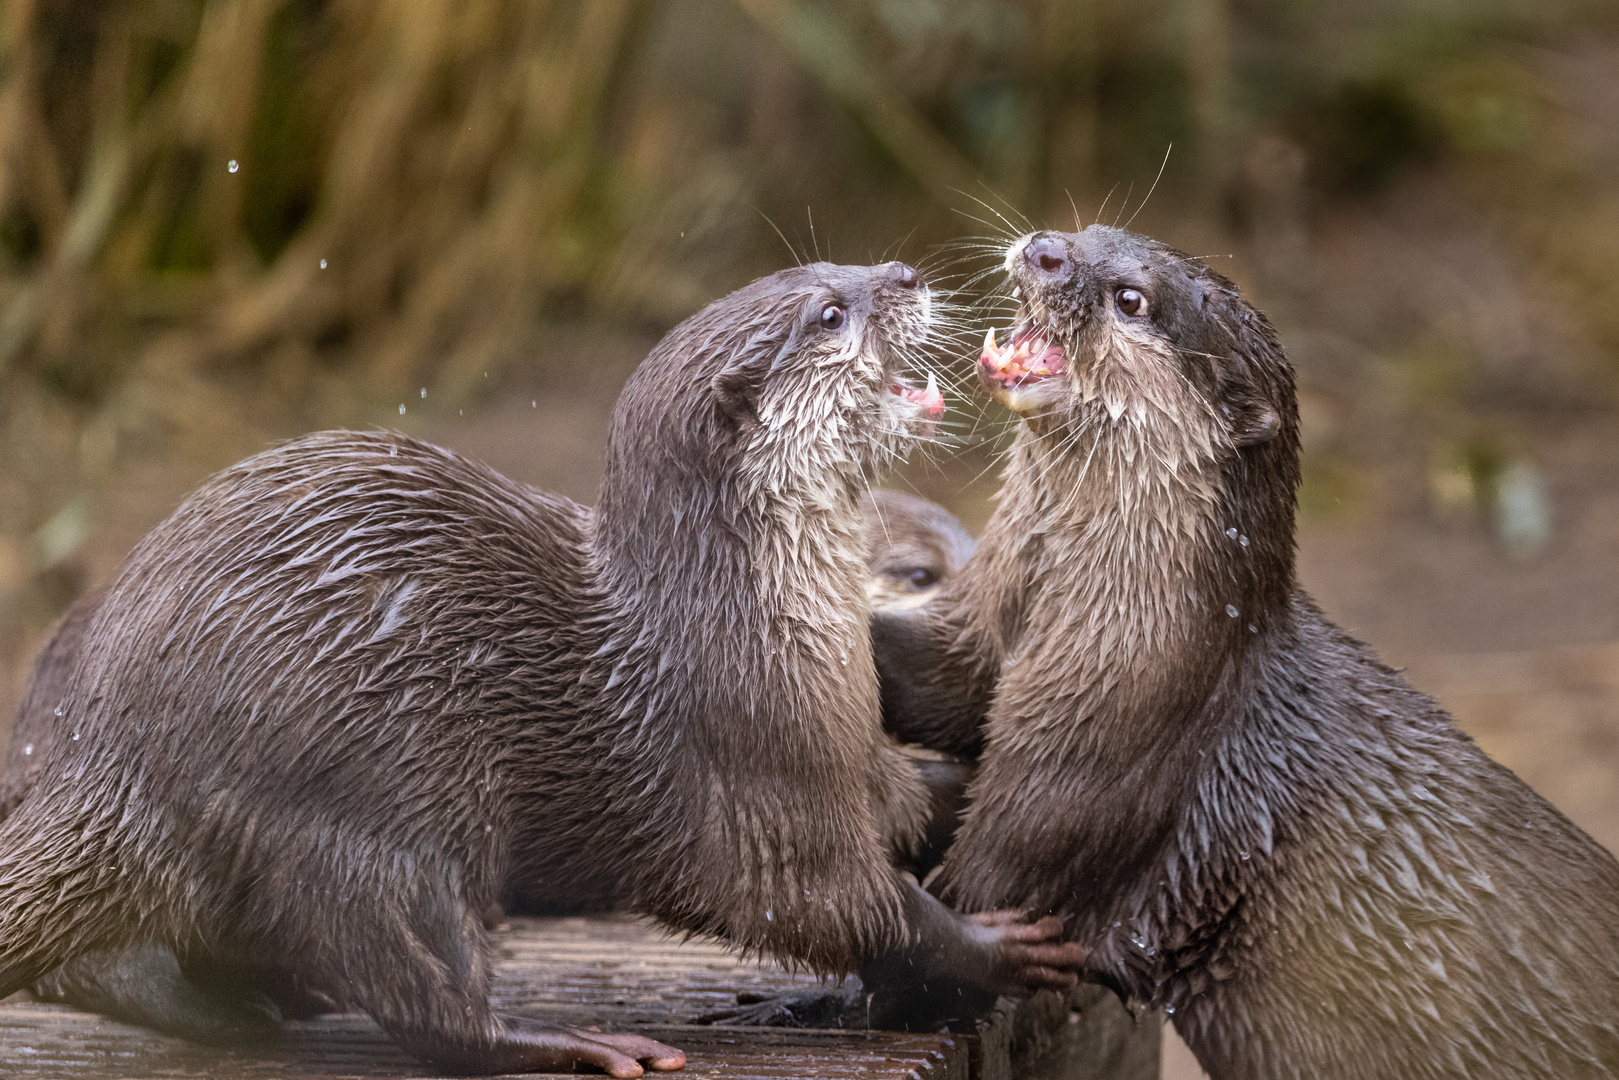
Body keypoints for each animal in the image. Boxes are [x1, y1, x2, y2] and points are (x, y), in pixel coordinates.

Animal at [0, 263, 1081, 1075]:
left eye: (834, 269)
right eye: (828, 312)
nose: (900, 272)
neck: (754, 628)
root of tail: (107, 757)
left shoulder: (847, 750)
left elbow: (911, 795)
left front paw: (981, 794)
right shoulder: (758, 786)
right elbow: (840, 903)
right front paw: (995, 946)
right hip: (370, 806)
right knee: (417, 990)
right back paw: (563, 1039)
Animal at [880, 229, 1619, 1080]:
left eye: (1130, 299)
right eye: (1089, 231)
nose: (1044, 250)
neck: (1136, 639)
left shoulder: (1094, 761)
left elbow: (983, 894)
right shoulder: (982, 638)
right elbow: (940, 685)